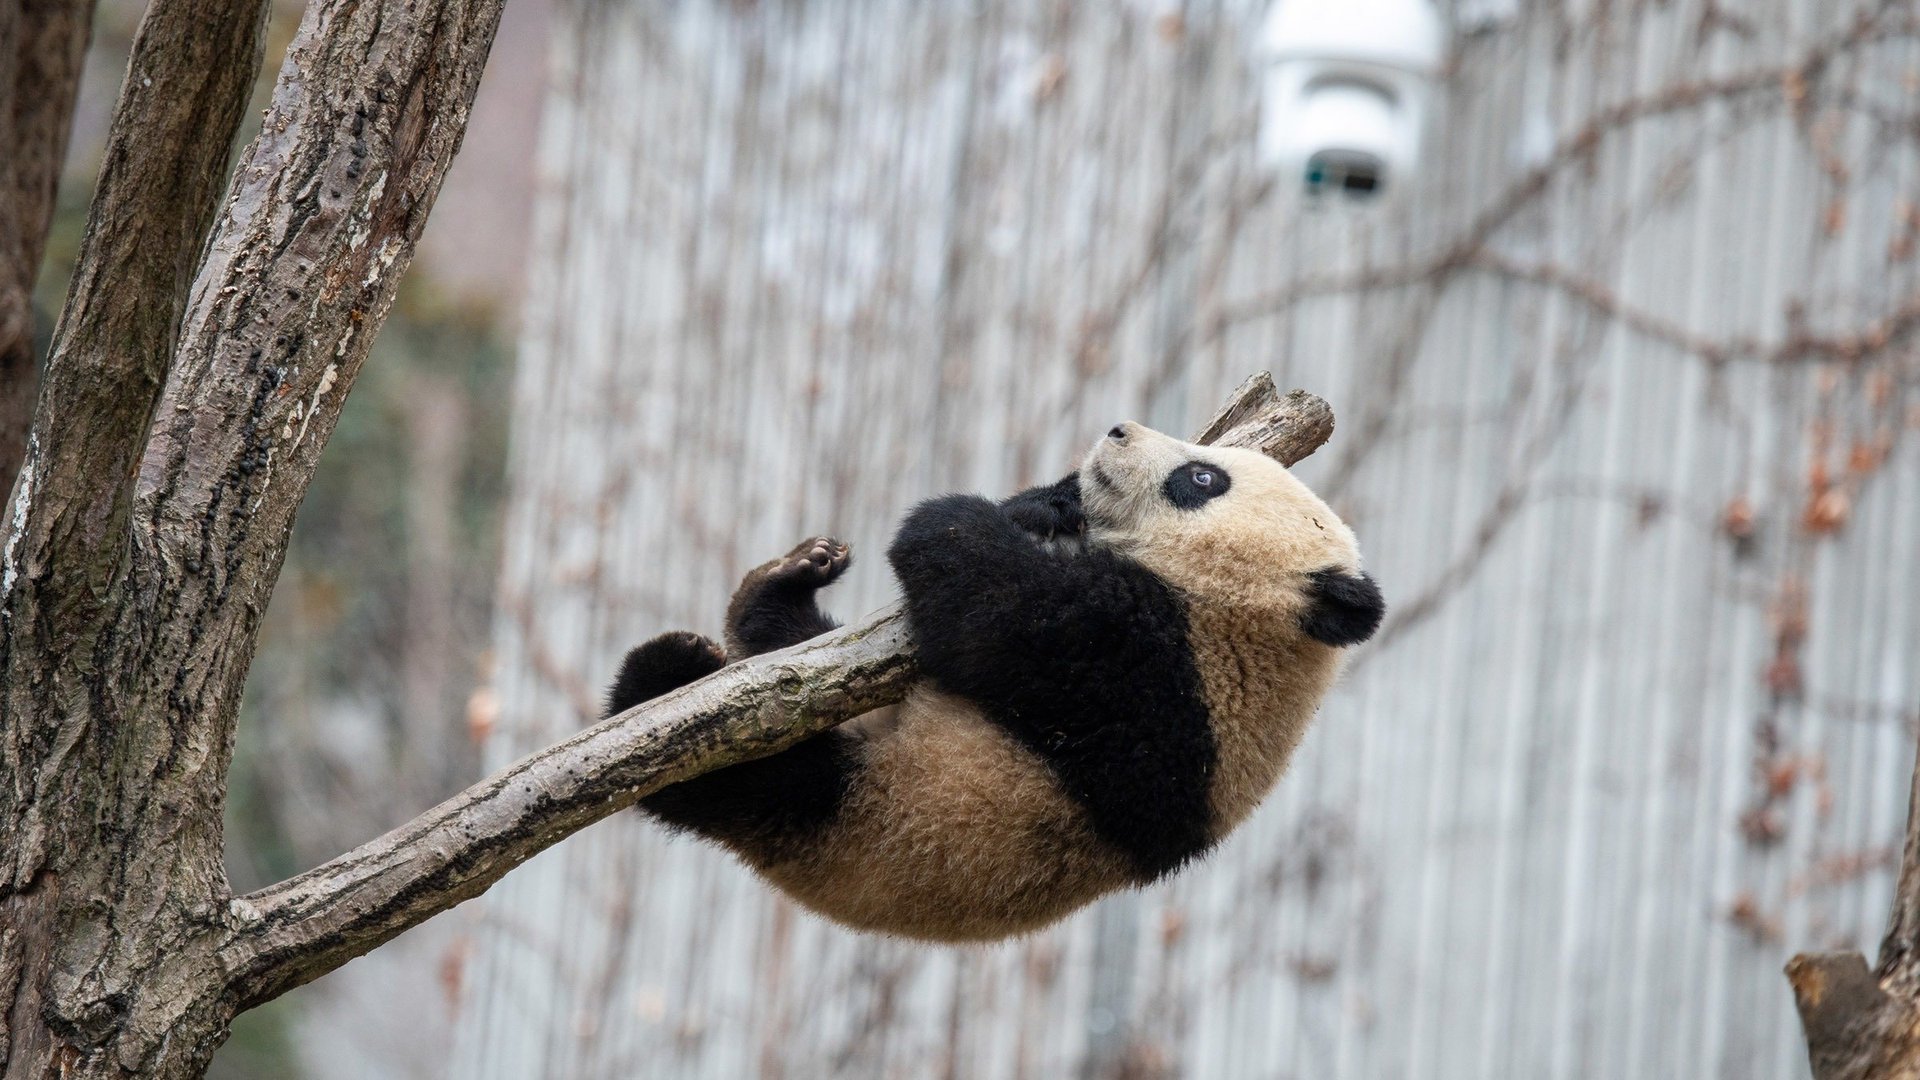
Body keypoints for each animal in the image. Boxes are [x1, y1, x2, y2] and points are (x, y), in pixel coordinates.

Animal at [603, 420, 1383, 942]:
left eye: (1202, 480)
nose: (1117, 429)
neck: (1255, 620)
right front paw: (1048, 503)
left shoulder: (1154, 676)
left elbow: (995, 611)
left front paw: (953, 518)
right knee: (791, 660)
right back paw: (787, 580)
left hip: (850, 808)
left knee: (754, 783)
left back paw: (661, 676)